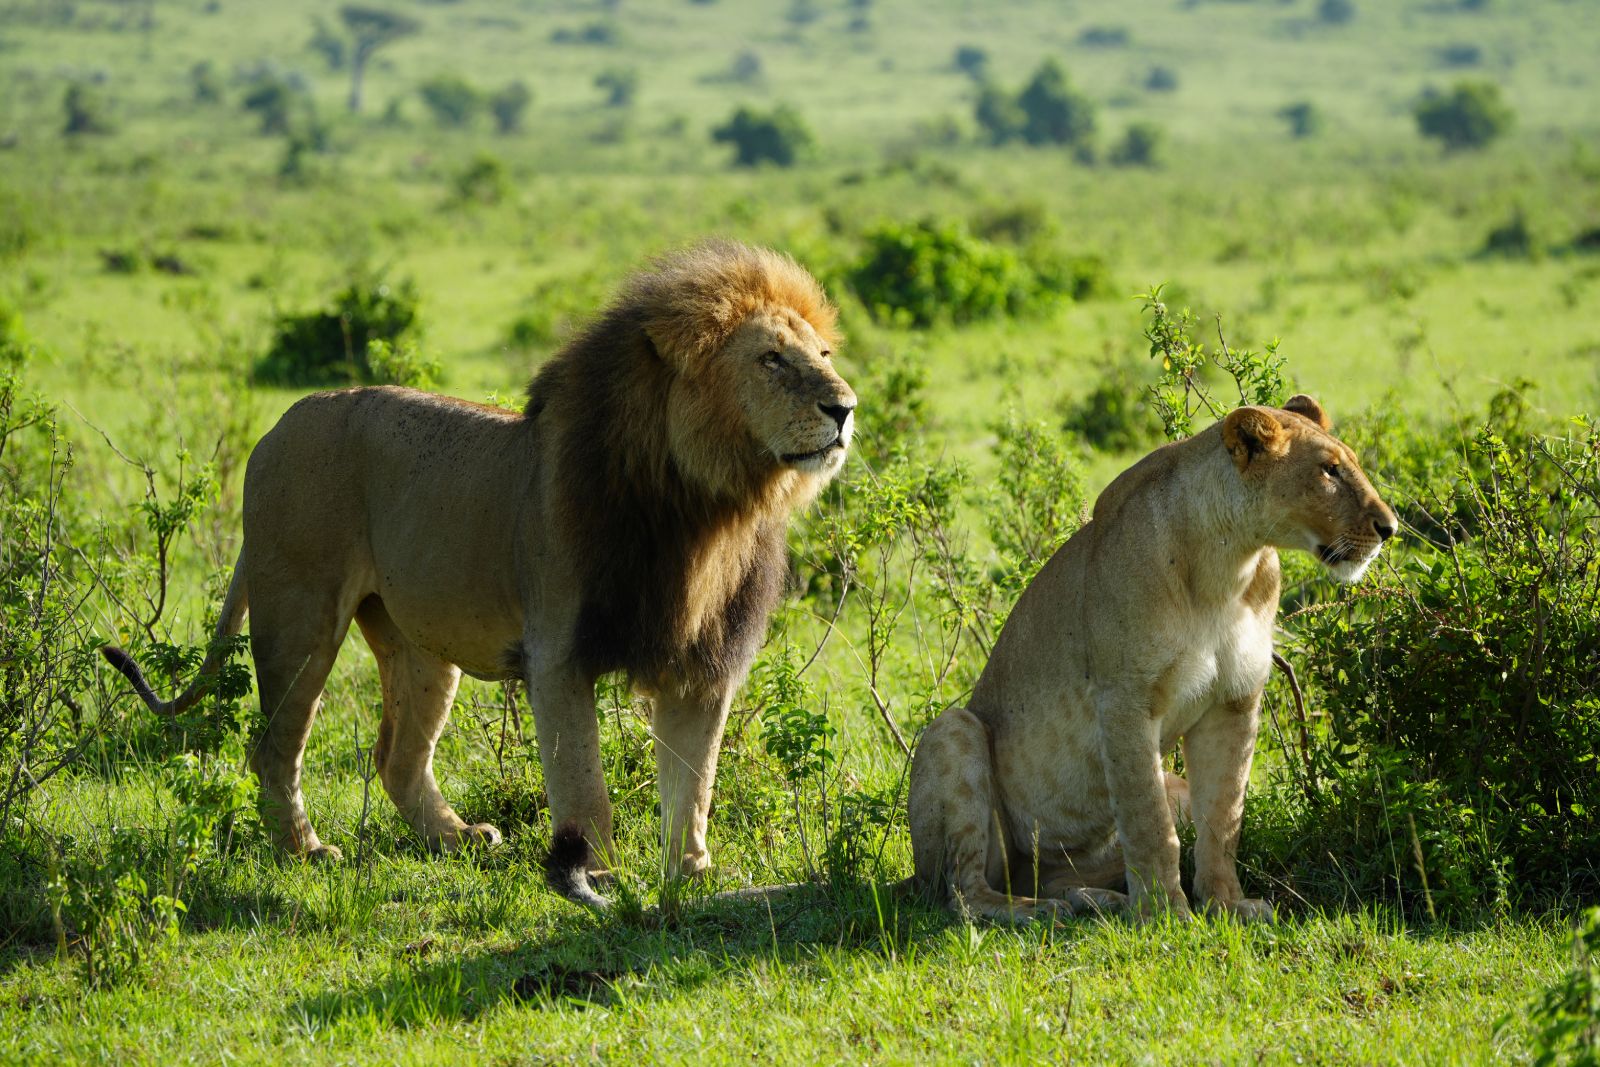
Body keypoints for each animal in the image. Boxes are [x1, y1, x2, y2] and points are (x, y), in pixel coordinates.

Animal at [103, 239, 856, 907]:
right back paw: (307, 850)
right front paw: (598, 876)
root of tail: (274, 429)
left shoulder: (703, 661)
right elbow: (585, 783)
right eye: (770, 359)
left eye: (821, 356)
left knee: (397, 758)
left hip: (418, 644)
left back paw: (458, 837)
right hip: (300, 613)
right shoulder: (559, 653)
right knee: (273, 746)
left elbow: (693, 781)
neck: (706, 507)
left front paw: (694, 875)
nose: (845, 408)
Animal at [907, 396, 1395, 923]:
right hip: (952, 732)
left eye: (1352, 464)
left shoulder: (1235, 701)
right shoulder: (1125, 699)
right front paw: (1167, 914)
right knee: (963, 893)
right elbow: (1148, 821)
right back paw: (1036, 910)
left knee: (1060, 878)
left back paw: (1099, 900)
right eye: (1329, 470)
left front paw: (1226, 904)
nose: (1389, 528)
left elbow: (1224, 817)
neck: (1227, 565)